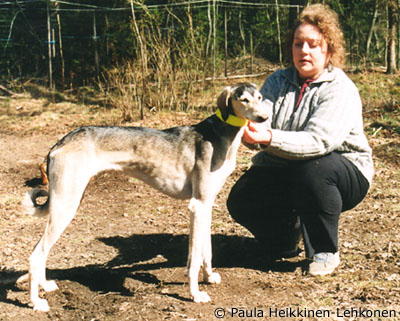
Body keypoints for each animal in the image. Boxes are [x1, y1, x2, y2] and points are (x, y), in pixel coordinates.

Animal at [21, 82, 268, 310]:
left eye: (259, 97)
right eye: (243, 99)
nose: (264, 117)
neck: (219, 135)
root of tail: (60, 142)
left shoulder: (206, 205)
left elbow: (206, 249)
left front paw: (209, 277)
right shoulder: (198, 206)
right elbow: (195, 258)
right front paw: (195, 294)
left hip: (68, 201)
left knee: (42, 253)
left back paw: (45, 286)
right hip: (66, 205)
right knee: (36, 255)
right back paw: (36, 302)